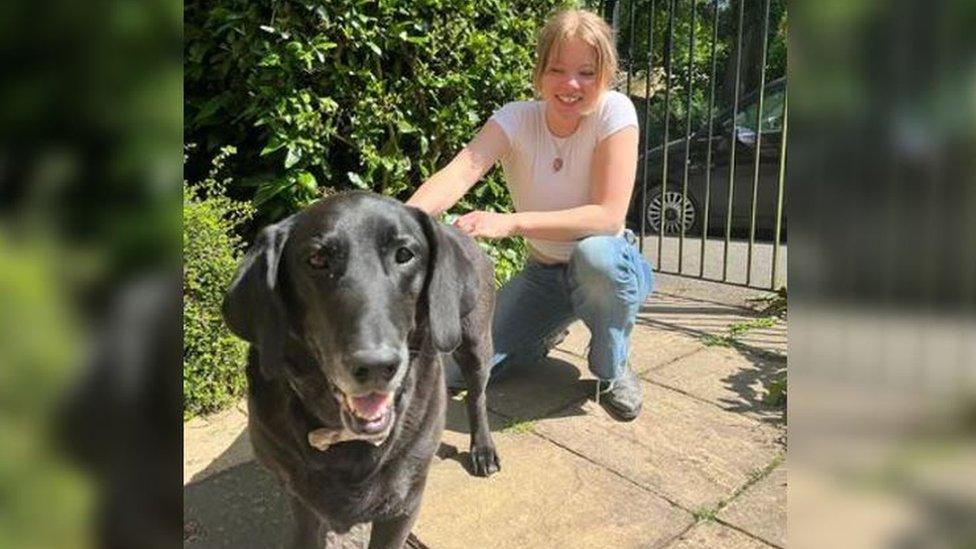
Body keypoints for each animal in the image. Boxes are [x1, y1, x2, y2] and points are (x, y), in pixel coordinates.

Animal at [221, 192, 496, 548]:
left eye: (404, 254)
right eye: (317, 259)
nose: (377, 366)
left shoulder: (402, 505)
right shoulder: (301, 499)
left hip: (475, 342)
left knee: (477, 395)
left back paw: (483, 449)